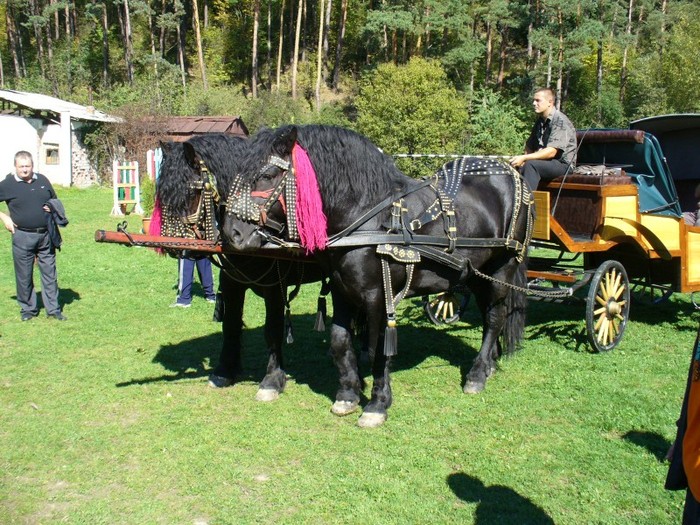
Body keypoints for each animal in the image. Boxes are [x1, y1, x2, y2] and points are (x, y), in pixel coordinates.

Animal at [156, 133, 328, 400]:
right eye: (161, 194)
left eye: (190, 192)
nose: (173, 246)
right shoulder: (232, 283)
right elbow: (231, 324)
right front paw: (224, 370)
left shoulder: (274, 288)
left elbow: (273, 329)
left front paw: (272, 379)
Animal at [223, 126, 532, 426]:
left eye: (267, 175)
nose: (232, 233)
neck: (367, 217)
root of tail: (512, 174)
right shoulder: (341, 289)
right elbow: (340, 340)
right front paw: (347, 394)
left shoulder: (381, 295)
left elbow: (380, 347)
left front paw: (377, 404)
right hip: (477, 274)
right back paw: (490, 364)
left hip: (502, 267)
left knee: (494, 318)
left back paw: (477, 374)